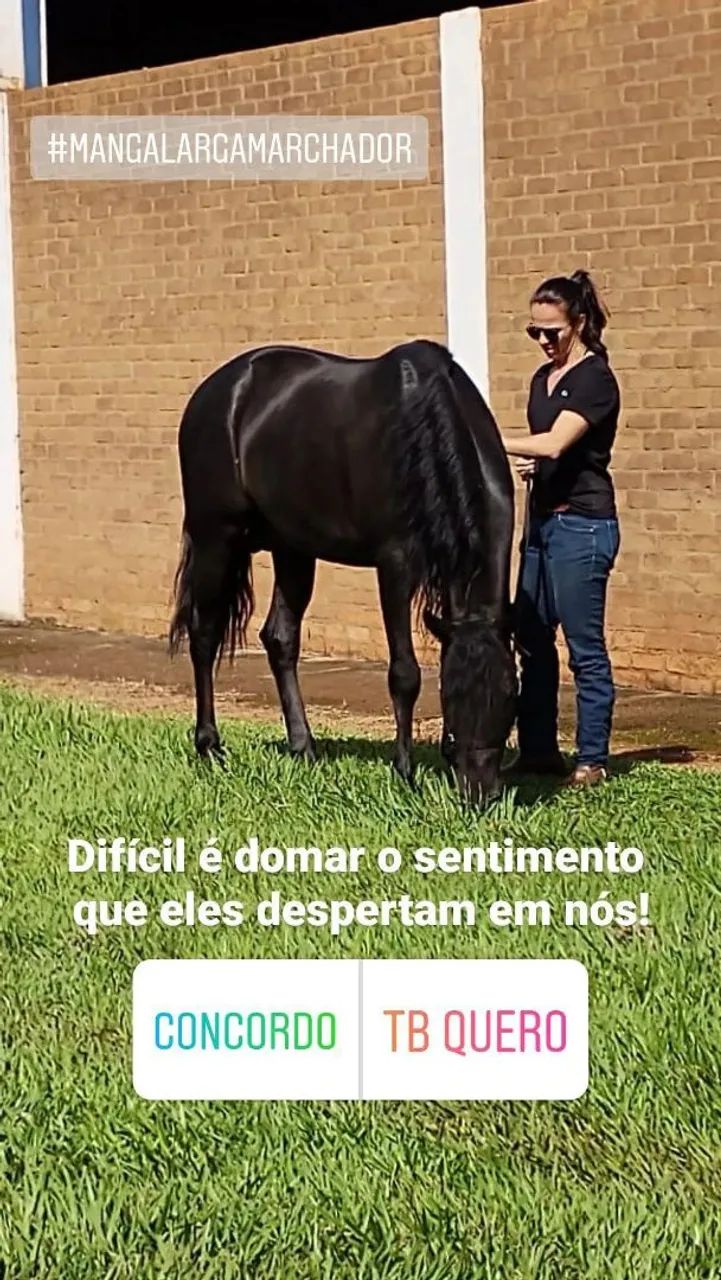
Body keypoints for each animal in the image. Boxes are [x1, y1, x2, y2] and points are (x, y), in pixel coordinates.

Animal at [169, 339, 517, 804]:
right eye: (454, 694)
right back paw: (209, 745)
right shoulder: (395, 564)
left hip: (293, 548)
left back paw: (304, 748)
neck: (421, 430)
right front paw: (404, 772)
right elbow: (404, 673)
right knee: (204, 635)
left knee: (280, 638)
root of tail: (214, 392)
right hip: (215, 539)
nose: (481, 794)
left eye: (510, 693)